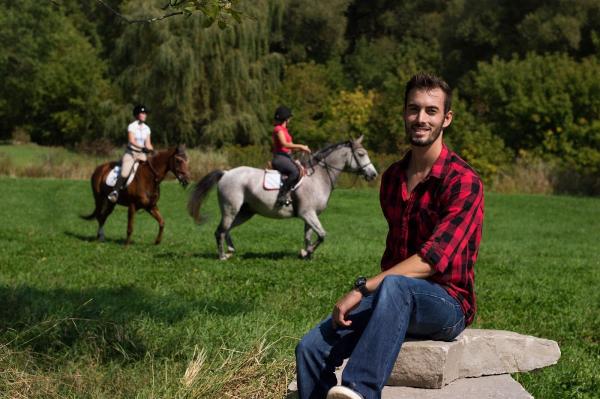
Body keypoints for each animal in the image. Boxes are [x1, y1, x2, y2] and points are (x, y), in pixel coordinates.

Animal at [188, 138, 378, 260]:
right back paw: (222, 257)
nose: (373, 174)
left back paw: (230, 250)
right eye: (361, 154)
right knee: (220, 231)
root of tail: (226, 173)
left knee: (227, 230)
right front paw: (306, 253)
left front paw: (307, 254)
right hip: (231, 209)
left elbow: (309, 236)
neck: (319, 177)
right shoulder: (307, 213)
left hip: (245, 212)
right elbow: (322, 235)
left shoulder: (310, 215)